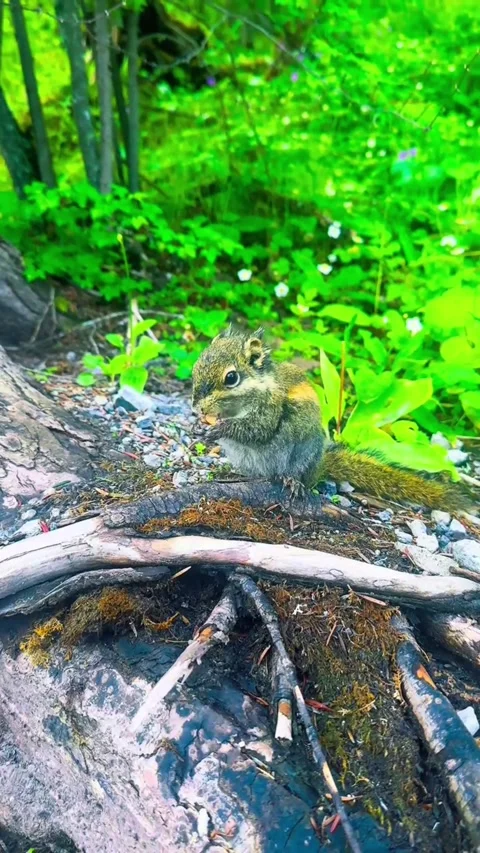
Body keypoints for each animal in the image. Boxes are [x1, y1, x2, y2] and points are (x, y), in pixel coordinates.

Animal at [191, 326, 473, 512]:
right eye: (196, 367)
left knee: (299, 475)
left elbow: (256, 430)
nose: (198, 408)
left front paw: (219, 429)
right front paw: (198, 424)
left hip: (304, 455)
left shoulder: (270, 408)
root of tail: (320, 466)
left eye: (231, 378)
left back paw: (292, 481)